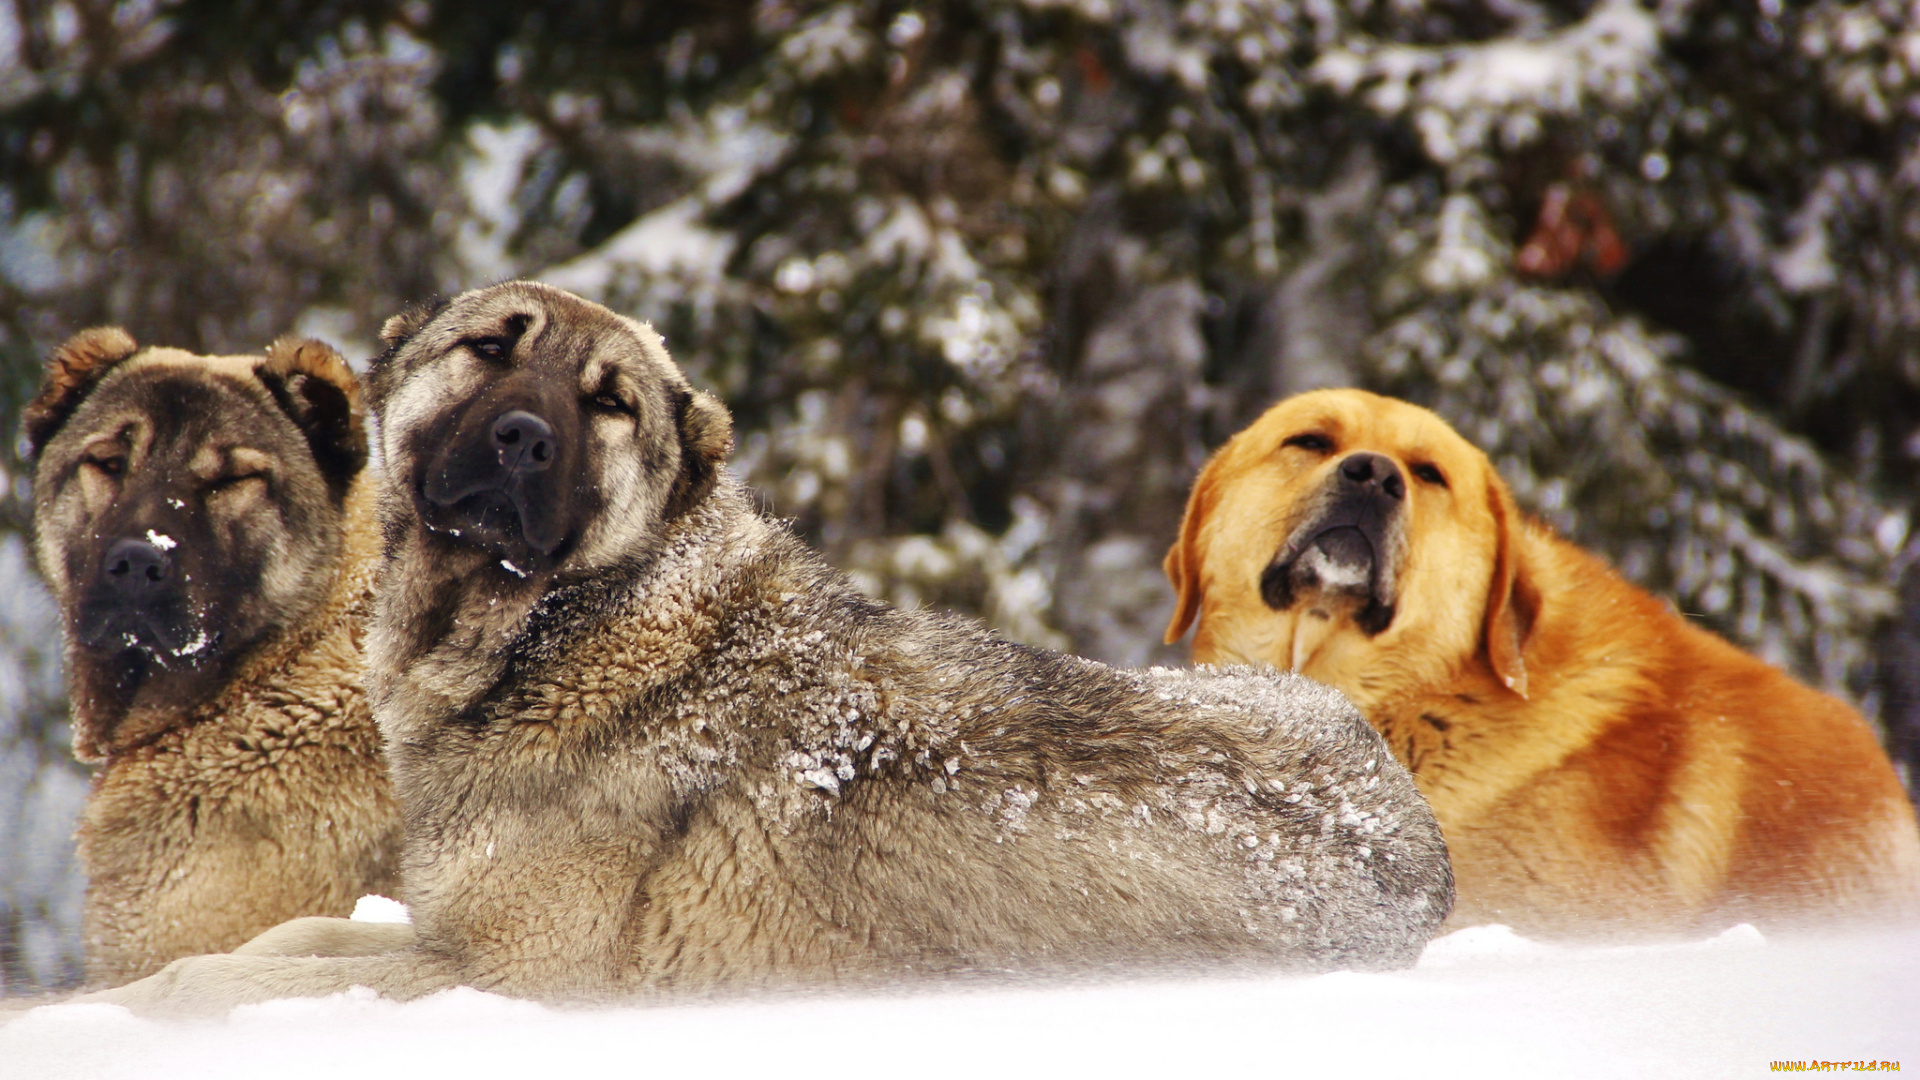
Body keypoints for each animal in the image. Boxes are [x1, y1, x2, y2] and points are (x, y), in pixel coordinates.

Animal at [82, 278, 1443, 1006]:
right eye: (489, 347)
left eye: (610, 406)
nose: (523, 437)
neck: (558, 631)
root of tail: (1416, 834)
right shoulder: (438, 931)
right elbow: (285, 941)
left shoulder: (516, 975)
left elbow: (245, 976)